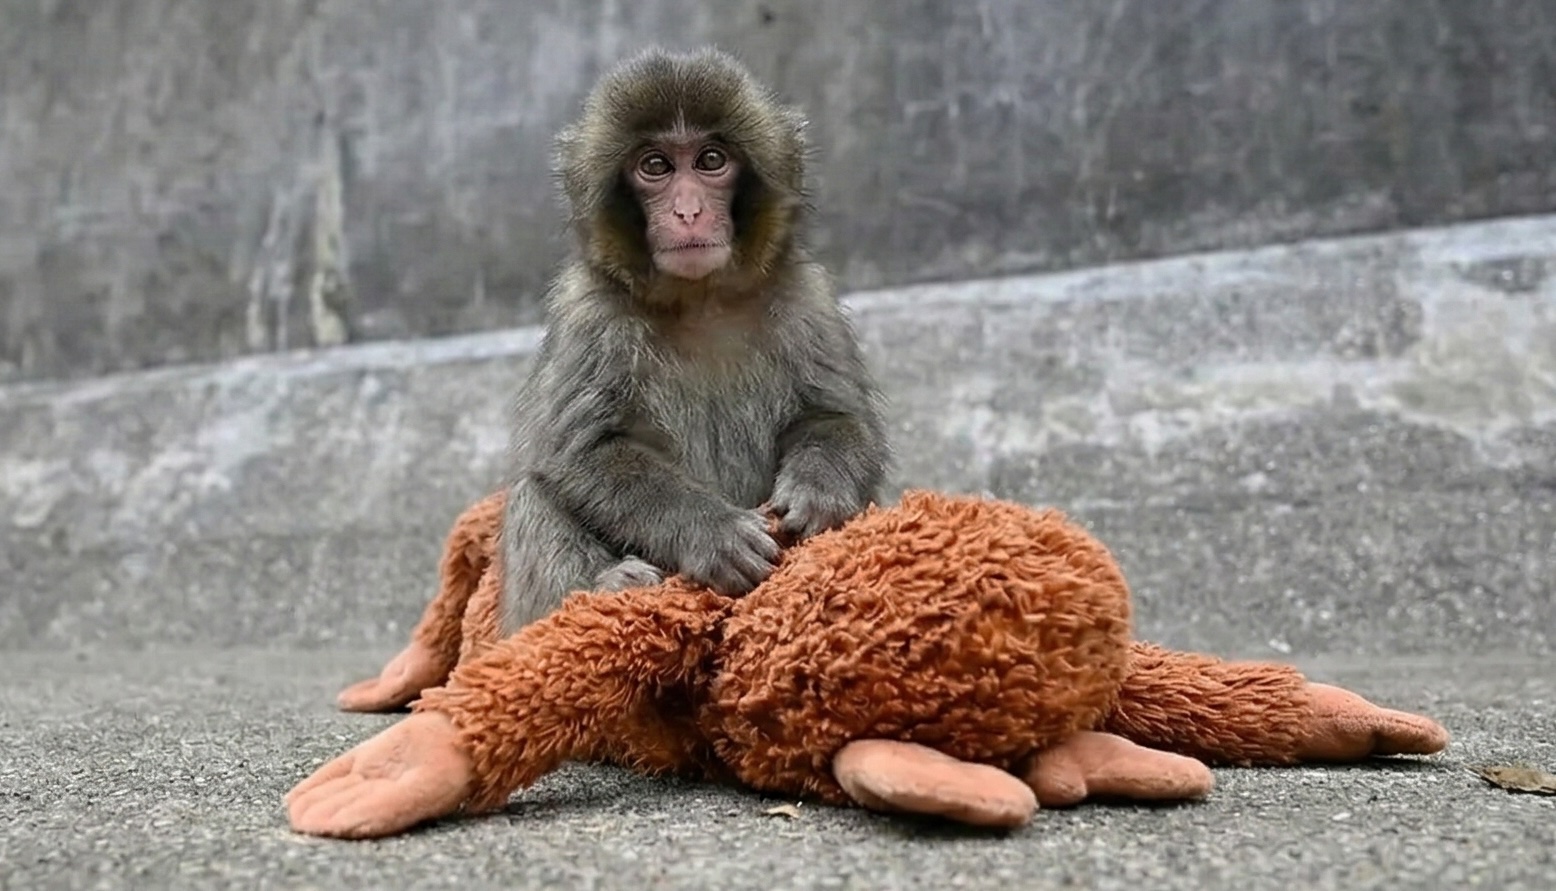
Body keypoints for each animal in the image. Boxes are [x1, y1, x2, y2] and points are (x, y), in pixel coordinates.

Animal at [336, 46, 890, 712]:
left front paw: (818, 491)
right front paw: (712, 534)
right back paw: (607, 590)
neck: (699, 299)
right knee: (536, 490)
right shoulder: (591, 319)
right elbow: (579, 453)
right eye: (655, 167)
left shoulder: (807, 298)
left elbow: (835, 417)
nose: (687, 211)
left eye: (711, 161)